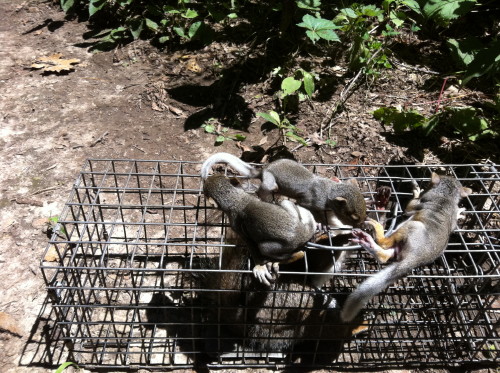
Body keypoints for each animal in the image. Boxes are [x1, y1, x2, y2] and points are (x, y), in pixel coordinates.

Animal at [199, 151, 368, 227]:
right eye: (352, 215)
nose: (360, 224)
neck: (329, 191)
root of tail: (264, 170)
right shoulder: (311, 200)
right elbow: (307, 207)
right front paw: (320, 221)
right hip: (269, 181)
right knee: (264, 189)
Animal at [340, 173, 472, 322]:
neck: (447, 196)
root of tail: (417, 259)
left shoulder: (423, 202)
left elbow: (409, 207)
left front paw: (417, 192)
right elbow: (454, 222)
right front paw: (460, 212)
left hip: (411, 227)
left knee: (384, 243)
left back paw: (377, 230)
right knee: (385, 256)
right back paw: (369, 242)